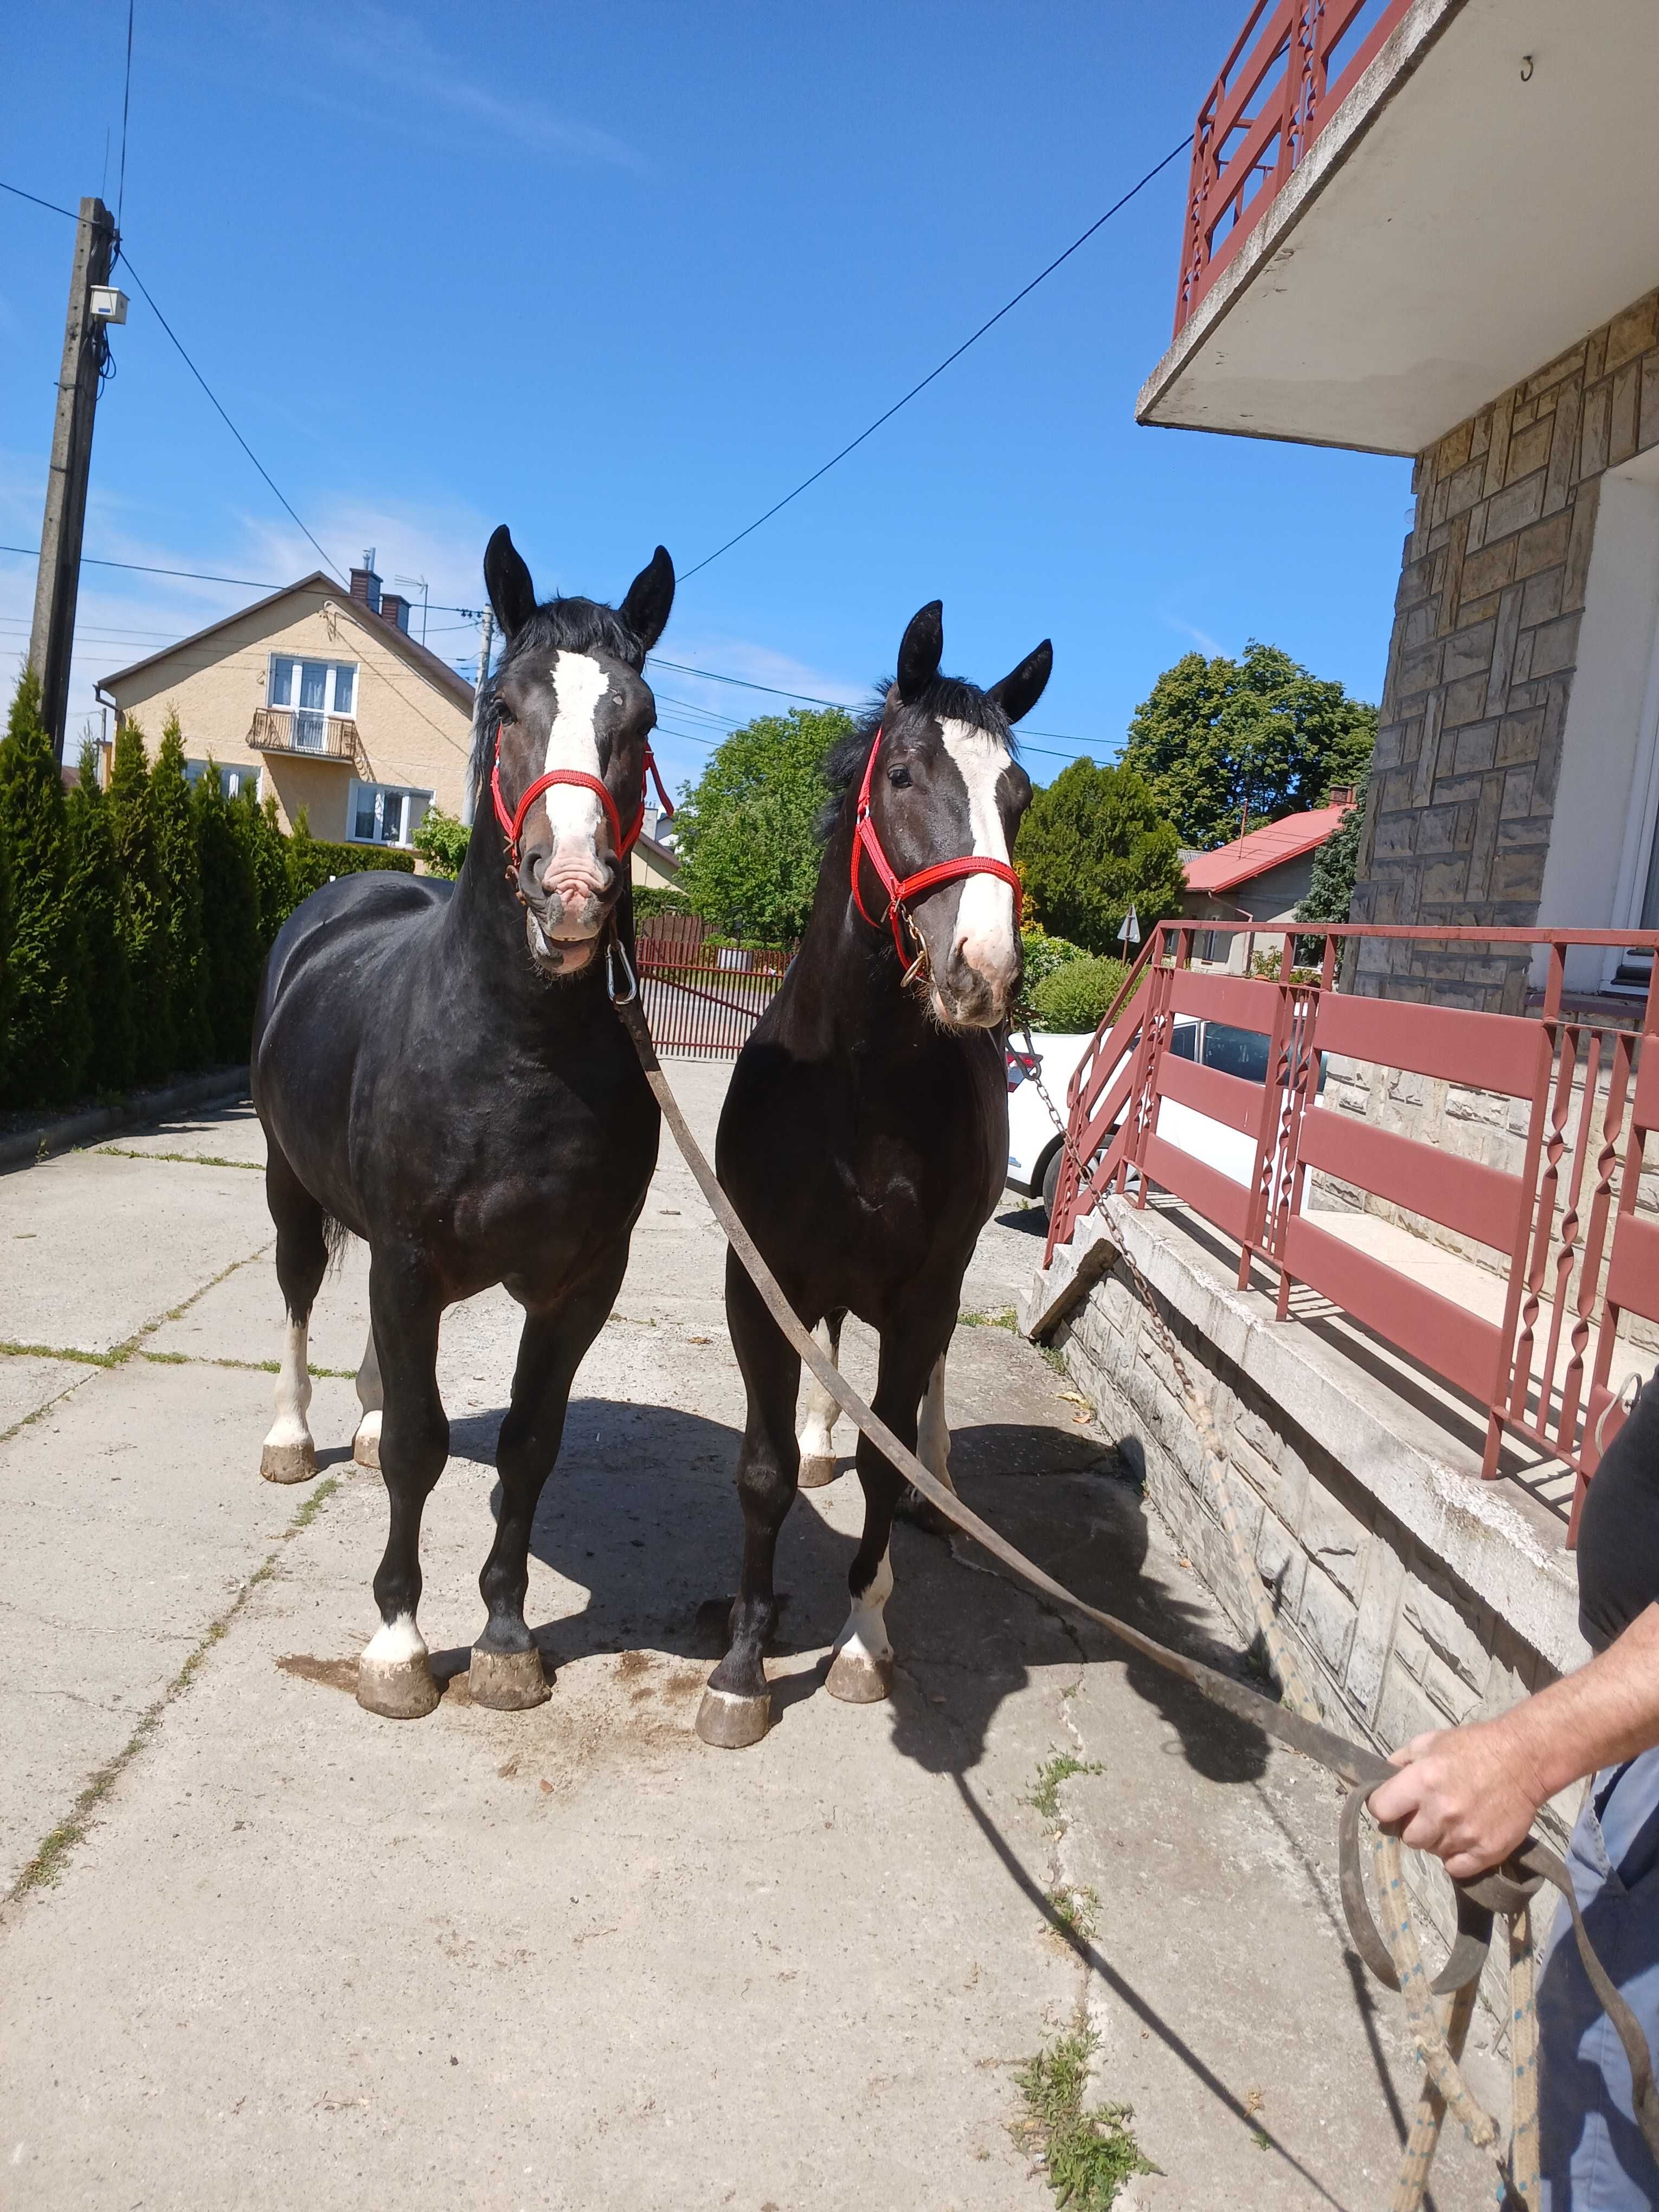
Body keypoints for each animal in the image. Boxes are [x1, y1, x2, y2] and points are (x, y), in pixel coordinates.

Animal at [252, 526, 677, 1716]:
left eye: (641, 716)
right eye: (504, 702)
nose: (571, 891)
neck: (515, 1051)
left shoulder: (581, 1285)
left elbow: (528, 1446)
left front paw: (504, 1639)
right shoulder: (406, 1264)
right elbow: (423, 1451)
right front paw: (398, 1645)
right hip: (289, 1186)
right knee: (298, 1295)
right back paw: (294, 1437)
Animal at [703, 601, 1053, 1743]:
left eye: (1018, 799)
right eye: (902, 774)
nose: (983, 973)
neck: (856, 1086)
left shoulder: (924, 1290)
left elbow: (882, 1459)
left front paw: (863, 1637)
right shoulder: (760, 1279)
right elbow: (765, 1470)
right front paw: (741, 1668)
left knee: (920, 1405)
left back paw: (936, 1484)